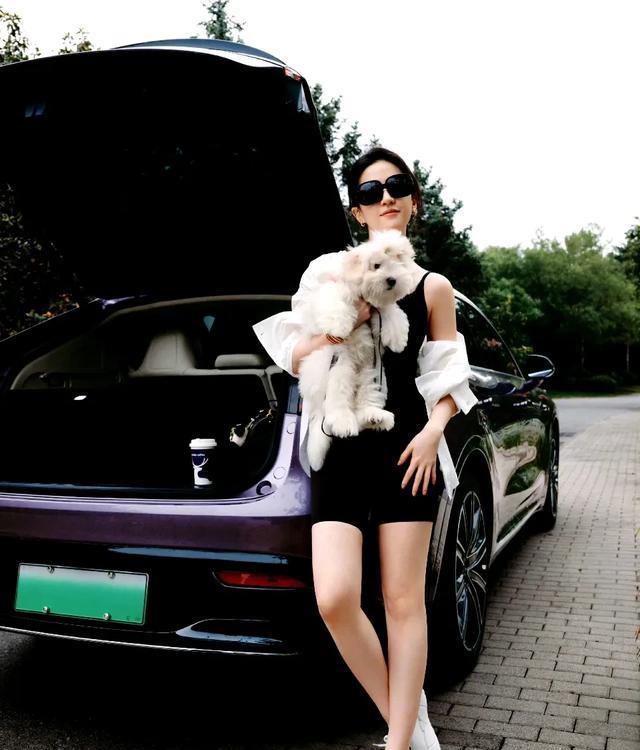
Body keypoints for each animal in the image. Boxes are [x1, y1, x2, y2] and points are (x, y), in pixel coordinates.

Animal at [297, 229, 417, 471]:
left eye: (397, 263)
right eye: (376, 265)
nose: (392, 280)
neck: (364, 295)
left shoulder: (380, 309)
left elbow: (392, 311)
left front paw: (398, 337)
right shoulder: (335, 289)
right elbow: (335, 302)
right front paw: (339, 326)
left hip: (372, 373)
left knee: (365, 400)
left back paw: (374, 417)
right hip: (340, 369)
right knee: (335, 409)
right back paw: (343, 423)